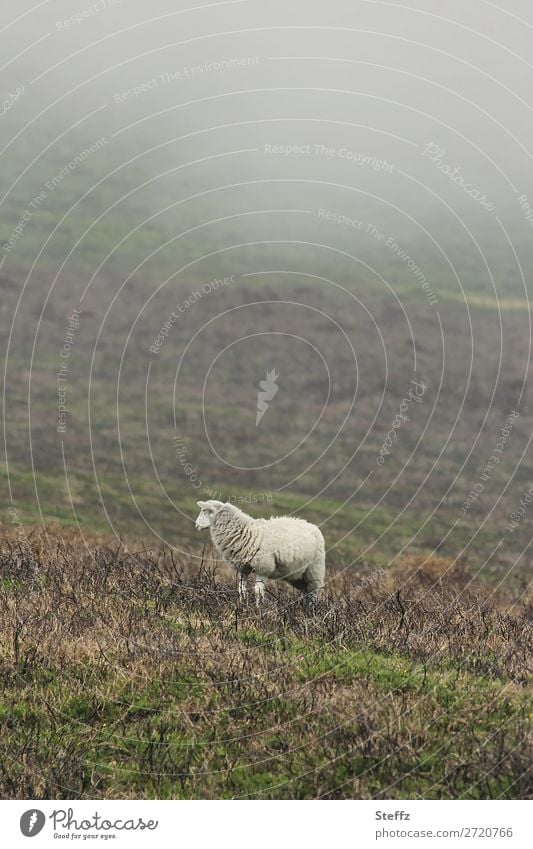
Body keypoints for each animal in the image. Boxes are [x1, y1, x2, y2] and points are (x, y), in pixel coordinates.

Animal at [195, 496, 326, 604]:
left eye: (204, 510)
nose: (196, 525)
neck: (247, 532)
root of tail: (313, 527)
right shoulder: (243, 568)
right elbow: (241, 589)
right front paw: (243, 605)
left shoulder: (263, 567)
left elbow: (258, 591)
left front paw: (258, 610)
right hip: (298, 576)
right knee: (307, 592)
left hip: (314, 570)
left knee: (314, 593)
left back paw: (311, 612)